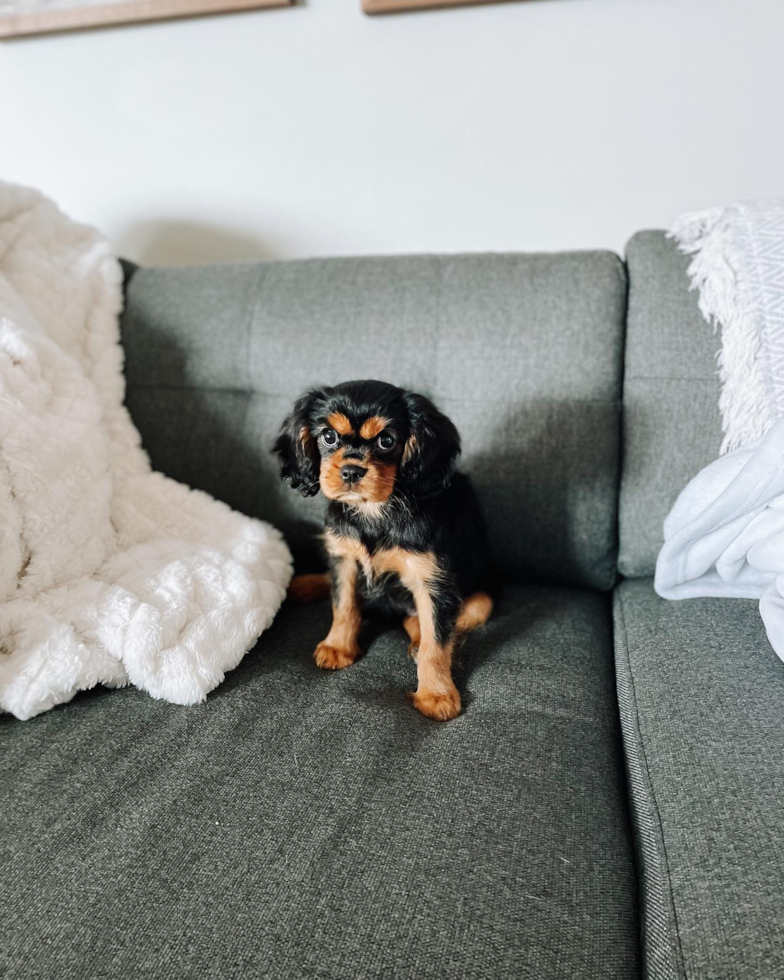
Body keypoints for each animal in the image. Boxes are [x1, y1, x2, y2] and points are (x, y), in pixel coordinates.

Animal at [272, 380, 490, 720]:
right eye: (328, 436)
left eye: (386, 441)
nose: (351, 471)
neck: (374, 511)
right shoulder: (344, 558)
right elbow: (344, 605)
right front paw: (338, 647)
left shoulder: (433, 581)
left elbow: (436, 641)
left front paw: (436, 694)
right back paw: (304, 584)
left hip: (481, 595)